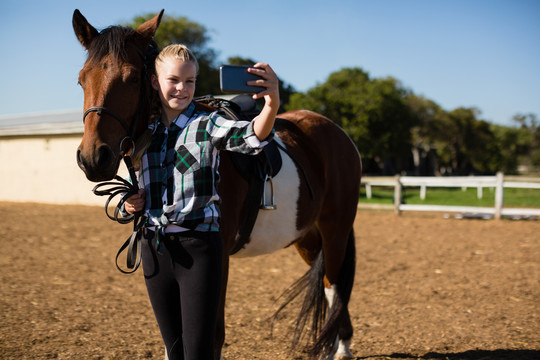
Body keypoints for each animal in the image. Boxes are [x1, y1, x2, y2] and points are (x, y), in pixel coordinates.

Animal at [70, 8, 358, 360]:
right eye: (82, 79)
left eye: (133, 78)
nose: (93, 157)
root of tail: (337, 132)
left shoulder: (218, 260)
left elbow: (212, 336)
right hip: (307, 236)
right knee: (331, 287)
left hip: (335, 232)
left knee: (335, 286)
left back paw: (339, 347)